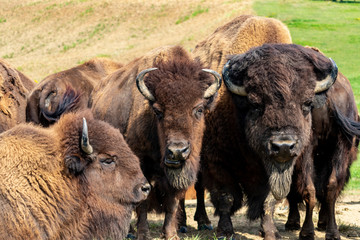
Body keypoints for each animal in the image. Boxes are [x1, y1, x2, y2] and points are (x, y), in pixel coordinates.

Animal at [91, 45, 221, 240]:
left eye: (199, 109)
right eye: (158, 111)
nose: (177, 151)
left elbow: (172, 202)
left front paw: (171, 234)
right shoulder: (142, 167)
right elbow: (143, 200)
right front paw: (143, 234)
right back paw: (129, 232)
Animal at [201, 43, 358, 240]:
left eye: (307, 103)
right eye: (255, 104)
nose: (283, 146)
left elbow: (270, 199)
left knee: (321, 188)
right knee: (322, 188)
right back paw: (322, 231)